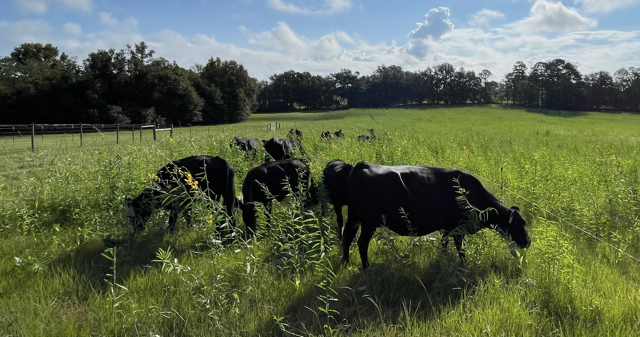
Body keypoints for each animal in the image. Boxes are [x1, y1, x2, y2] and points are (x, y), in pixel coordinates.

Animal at [342, 161, 532, 270]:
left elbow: (444, 245)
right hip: (368, 222)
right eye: (520, 224)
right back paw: (366, 267)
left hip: (354, 217)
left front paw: (444, 259)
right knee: (361, 242)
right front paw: (464, 266)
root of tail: (362, 164)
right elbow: (461, 250)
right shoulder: (457, 228)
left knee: (347, 237)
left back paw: (345, 262)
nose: (528, 242)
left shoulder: (445, 228)